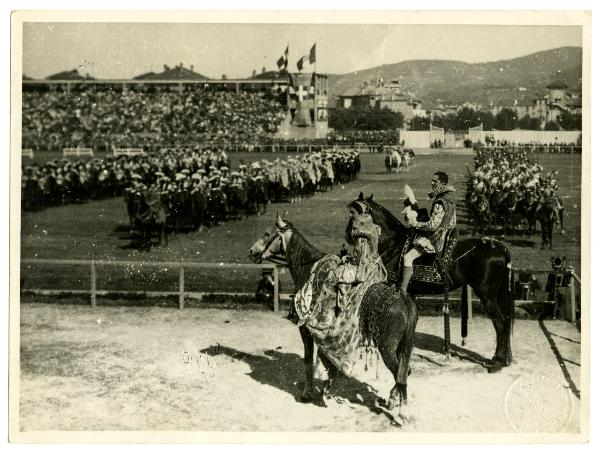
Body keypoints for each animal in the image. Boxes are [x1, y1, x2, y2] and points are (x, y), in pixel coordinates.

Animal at [248, 214, 418, 416]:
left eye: (267, 233)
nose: (252, 251)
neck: (309, 270)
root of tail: (403, 297)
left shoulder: (306, 330)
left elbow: (308, 360)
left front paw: (307, 393)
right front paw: (327, 388)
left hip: (387, 348)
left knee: (399, 372)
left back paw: (398, 407)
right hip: (403, 346)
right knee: (404, 371)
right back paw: (398, 404)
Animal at [350, 194, 512, 372]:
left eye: (354, 214)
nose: (348, 236)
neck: (394, 244)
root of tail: (499, 247)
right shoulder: (411, 294)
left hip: (486, 295)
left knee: (500, 322)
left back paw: (497, 362)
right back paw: (505, 359)